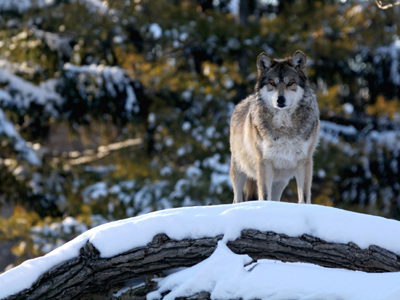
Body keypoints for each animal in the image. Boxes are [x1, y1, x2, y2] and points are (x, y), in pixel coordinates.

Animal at [230, 51, 320, 204]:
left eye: (290, 83)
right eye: (272, 83)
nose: (280, 99)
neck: (284, 126)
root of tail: (241, 103)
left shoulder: (304, 161)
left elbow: (304, 196)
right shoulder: (264, 162)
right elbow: (265, 195)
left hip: (280, 180)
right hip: (240, 170)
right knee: (237, 199)